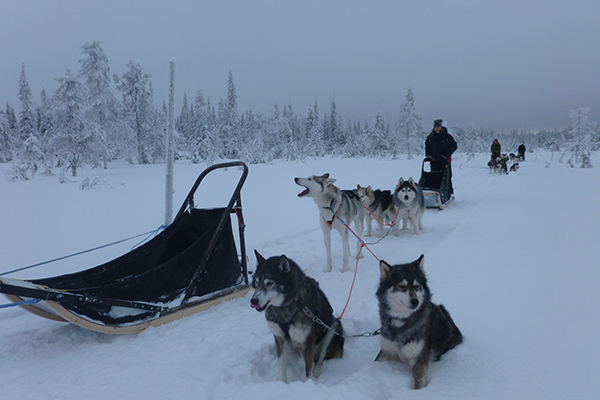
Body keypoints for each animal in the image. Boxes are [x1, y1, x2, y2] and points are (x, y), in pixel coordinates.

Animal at [248, 248, 342, 382]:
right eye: (256, 282)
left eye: (270, 283)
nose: (253, 301)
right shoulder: (280, 339)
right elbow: (282, 366)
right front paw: (281, 383)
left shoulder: (307, 344)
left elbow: (307, 373)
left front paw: (307, 385)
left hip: (334, 327)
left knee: (319, 360)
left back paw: (317, 370)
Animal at [376, 255, 464, 390]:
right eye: (401, 286)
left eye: (417, 286)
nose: (415, 301)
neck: (402, 321)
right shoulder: (386, 350)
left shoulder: (420, 360)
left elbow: (418, 382)